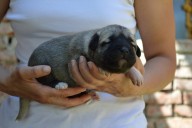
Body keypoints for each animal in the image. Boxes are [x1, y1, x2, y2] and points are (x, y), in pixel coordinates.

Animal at [15, 24, 143, 120]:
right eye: (108, 42)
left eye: (132, 45)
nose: (124, 50)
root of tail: (29, 63)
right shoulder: (78, 58)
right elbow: (93, 61)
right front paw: (102, 68)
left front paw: (136, 74)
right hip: (44, 66)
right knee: (46, 80)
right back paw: (60, 84)